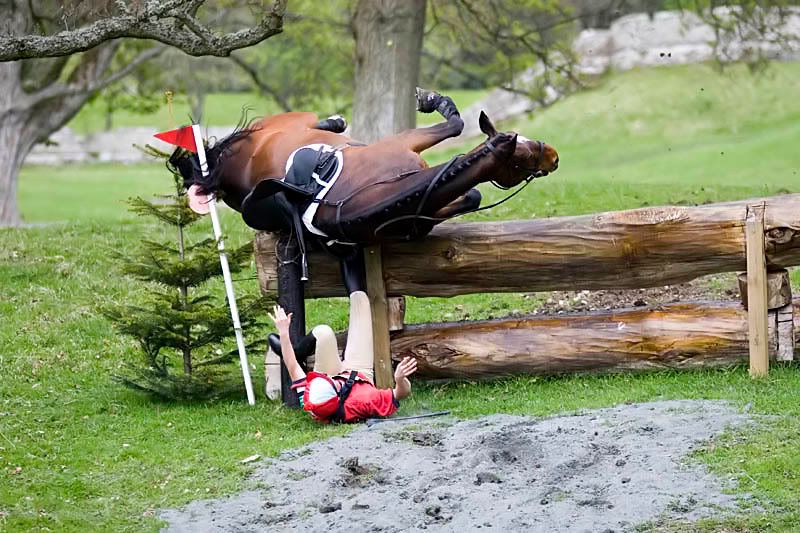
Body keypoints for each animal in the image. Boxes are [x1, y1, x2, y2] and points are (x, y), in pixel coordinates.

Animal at [169, 88, 559, 278]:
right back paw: (334, 121)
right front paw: (433, 100)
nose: (553, 156)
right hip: (285, 123)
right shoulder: (401, 143)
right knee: (311, 122)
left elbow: (472, 195)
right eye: (518, 148)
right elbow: (454, 126)